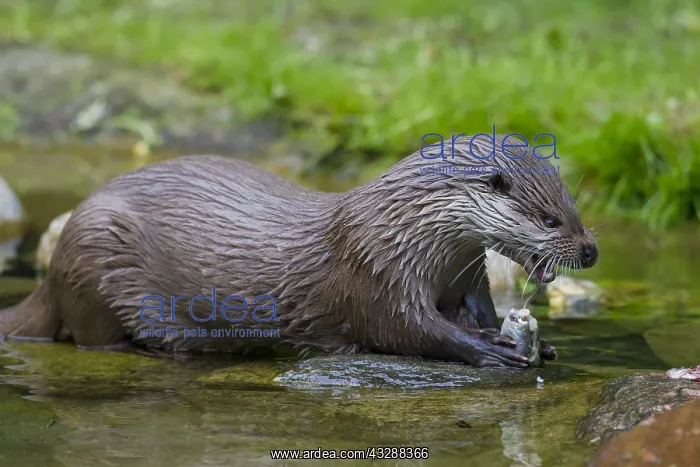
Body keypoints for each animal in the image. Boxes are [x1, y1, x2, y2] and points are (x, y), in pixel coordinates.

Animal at [0, 136, 597, 367]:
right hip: (95, 251)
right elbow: (408, 330)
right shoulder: (373, 271)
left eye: (575, 207)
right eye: (550, 219)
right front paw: (488, 348)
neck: (404, 230)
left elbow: (477, 310)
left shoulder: (466, 275)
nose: (590, 250)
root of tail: (49, 274)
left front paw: (540, 346)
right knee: (93, 336)